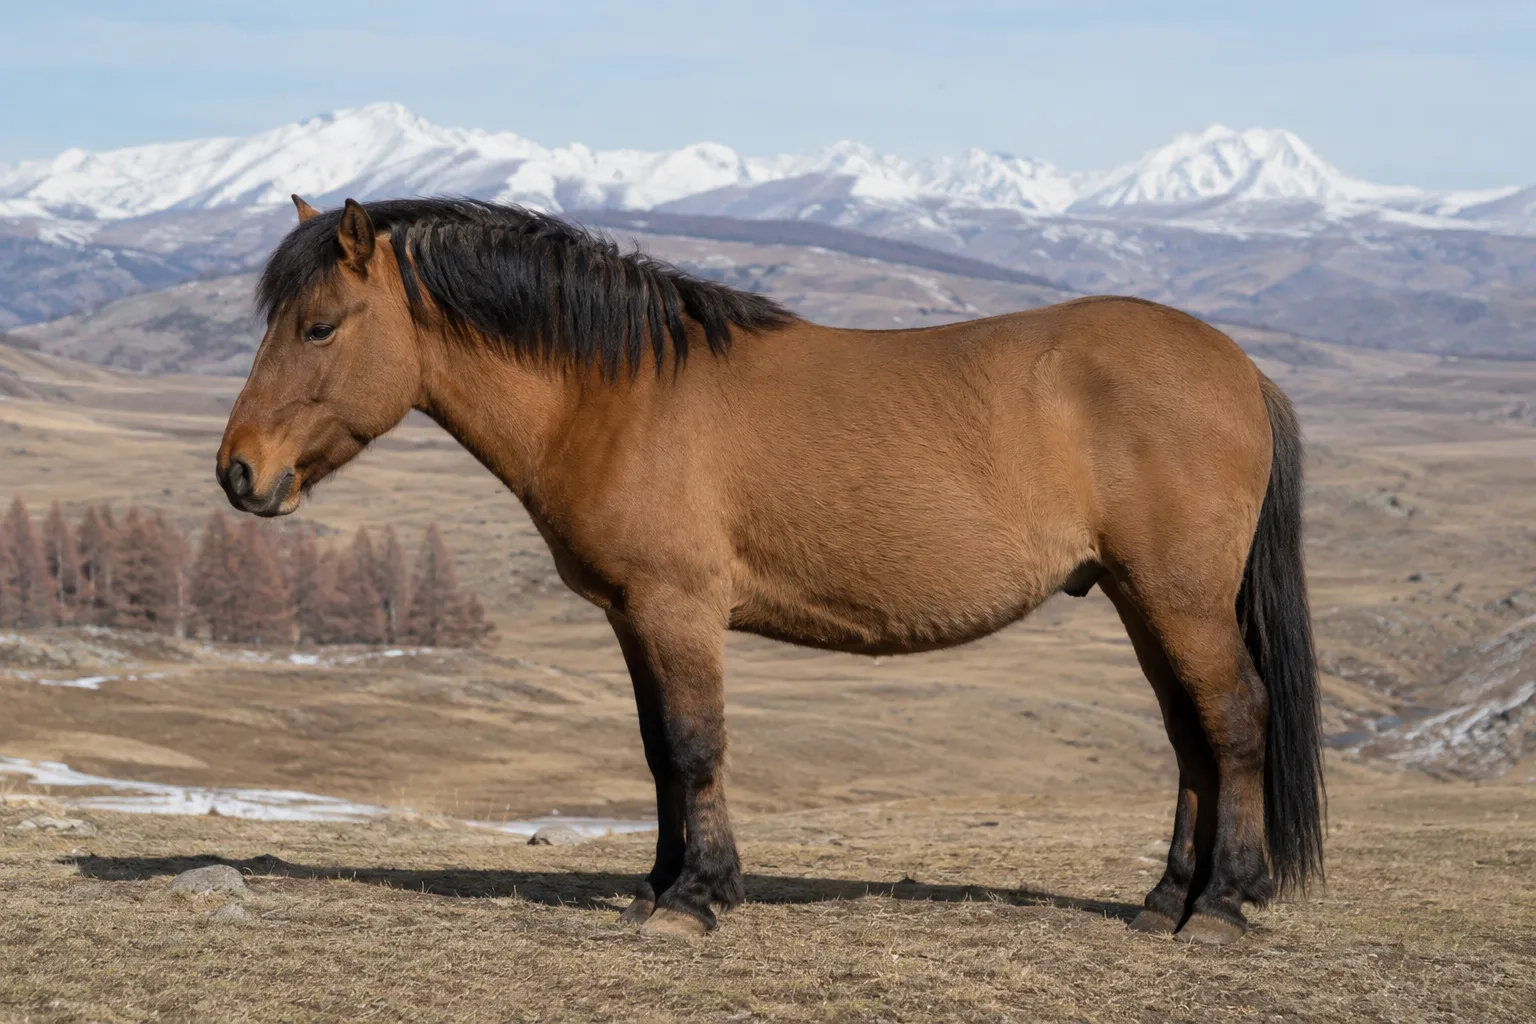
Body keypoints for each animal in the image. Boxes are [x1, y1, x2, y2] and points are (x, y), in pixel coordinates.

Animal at [217, 195, 1324, 943]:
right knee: (1191, 736)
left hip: (1179, 600)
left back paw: (1222, 903)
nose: (239, 473)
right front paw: (663, 882)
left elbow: (695, 744)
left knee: (1234, 720)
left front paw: (696, 900)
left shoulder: (678, 610)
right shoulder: (633, 616)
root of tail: (1240, 369)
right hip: (1144, 599)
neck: (616, 394)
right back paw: (1165, 899)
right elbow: (659, 753)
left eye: (320, 325)